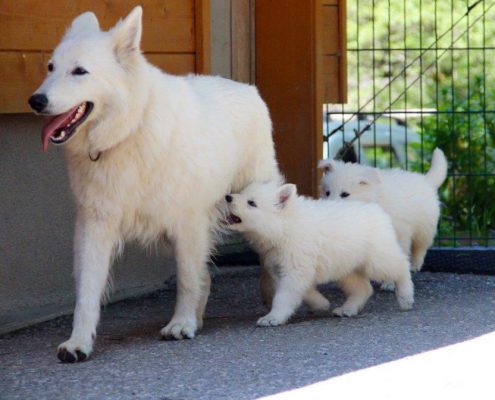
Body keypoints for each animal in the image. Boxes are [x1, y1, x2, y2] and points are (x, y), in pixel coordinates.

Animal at [29, 6, 280, 362]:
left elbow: (187, 279)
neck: (128, 130)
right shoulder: (95, 226)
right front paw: (78, 342)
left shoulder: (188, 224)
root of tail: (248, 88)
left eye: (79, 71)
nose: (35, 101)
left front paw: (181, 323)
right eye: (51, 68)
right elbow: (87, 292)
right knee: (204, 275)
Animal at [226, 181, 414, 324]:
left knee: (401, 267)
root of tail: (377, 210)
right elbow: (303, 292)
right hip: (346, 268)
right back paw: (347, 309)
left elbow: (283, 296)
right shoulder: (282, 269)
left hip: (377, 259)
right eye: (241, 193)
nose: (228, 197)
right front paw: (321, 304)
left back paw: (406, 297)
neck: (284, 226)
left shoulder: (295, 269)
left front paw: (273, 317)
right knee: (363, 289)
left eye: (252, 203)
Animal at [320, 148, 448, 274]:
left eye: (345, 194)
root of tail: (425, 180)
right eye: (327, 193)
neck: (374, 199)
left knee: (420, 248)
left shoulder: (400, 231)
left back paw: (415, 266)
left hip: (424, 229)